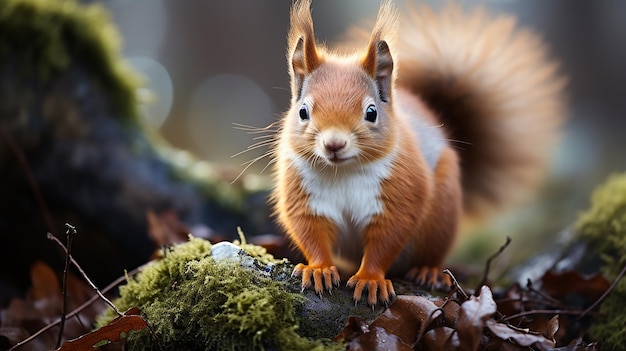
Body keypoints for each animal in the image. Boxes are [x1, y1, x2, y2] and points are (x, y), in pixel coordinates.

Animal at [270, 0, 564, 306]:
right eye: (303, 112)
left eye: (371, 112)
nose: (334, 144)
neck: (344, 171)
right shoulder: (305, 197)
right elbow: (311, 233)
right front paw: (319, 269)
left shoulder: (400, 194)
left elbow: (385, 240)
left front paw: (370, 279)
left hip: (441, 215)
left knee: (431, 254)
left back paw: (428, 271)